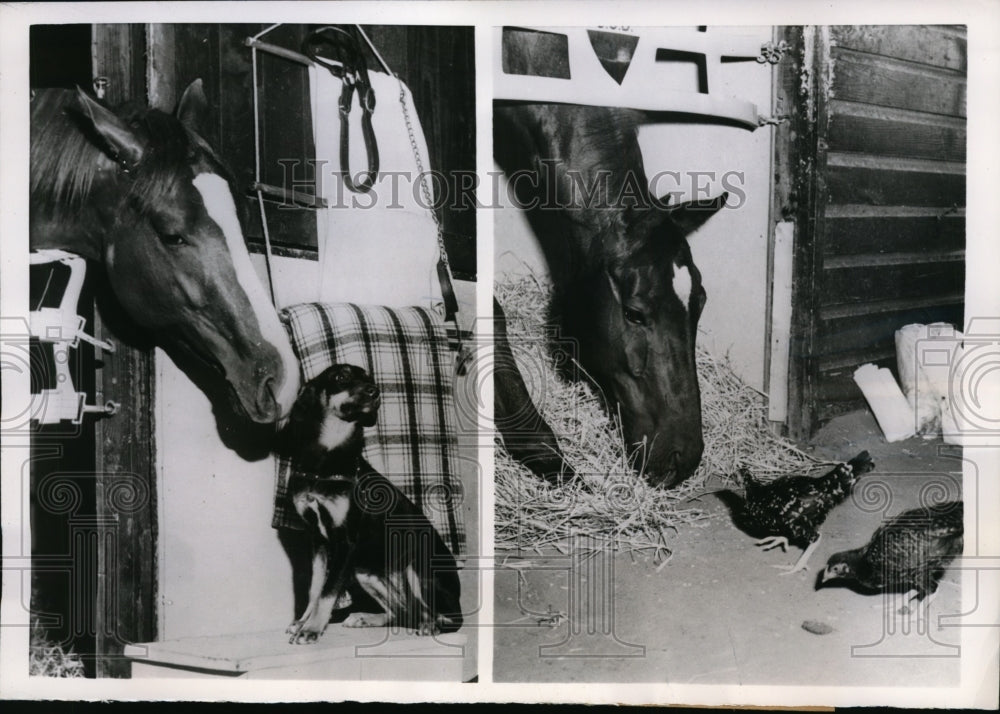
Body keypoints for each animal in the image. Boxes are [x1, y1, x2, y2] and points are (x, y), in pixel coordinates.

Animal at [280, 364, 462, 644]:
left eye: (367, 377)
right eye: (341, 376)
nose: (374, 391)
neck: (326, 463)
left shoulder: (346, 543)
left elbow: (328, 592)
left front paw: (311, 629)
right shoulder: (318, 541)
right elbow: (315, 588)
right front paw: (303, 622)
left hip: (416, 566)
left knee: (444, 618)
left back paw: (429, 625)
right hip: (365, 572)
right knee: (404, 611)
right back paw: (366, 617)